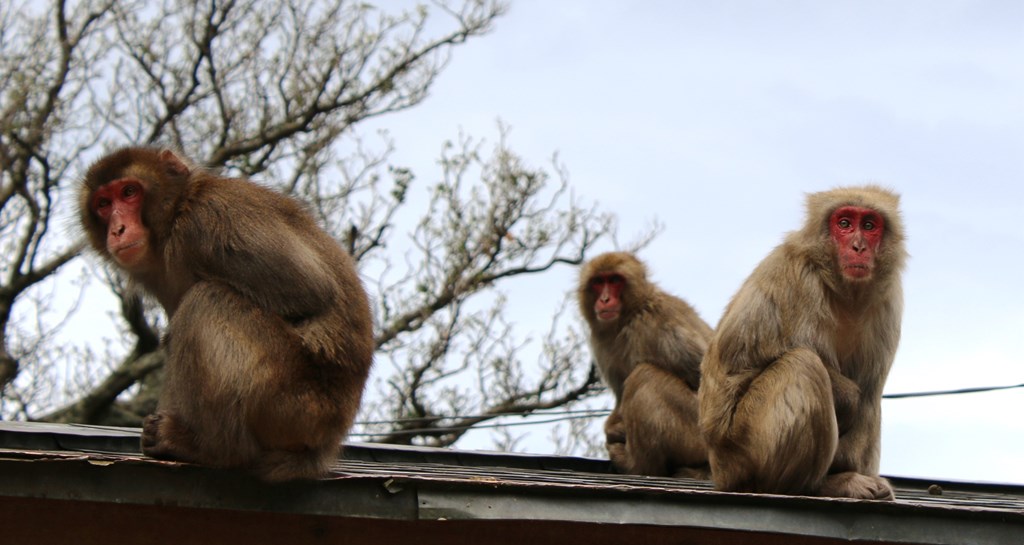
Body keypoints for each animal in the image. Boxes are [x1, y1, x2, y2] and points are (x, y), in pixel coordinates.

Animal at [78, 145, 376, 481]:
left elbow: (311, 292)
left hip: (293, 402)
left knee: (207, 300)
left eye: (129, 192)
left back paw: (214, 449)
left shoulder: (208, 219)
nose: (118, 229)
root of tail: (326, 445)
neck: (178, 211)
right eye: (103, 204)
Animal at [577, 250, 712, 477]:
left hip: (697, 434)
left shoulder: (659, 324)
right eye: (598, 282)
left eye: (615, 280)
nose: (605, 299)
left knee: (645, 376)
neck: (630, 315)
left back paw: (638, 465)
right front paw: (613, 428)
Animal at [700, 185, 909, 499]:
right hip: (740, 448)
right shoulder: (797, 279)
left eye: (870, 225)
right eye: (844, 223)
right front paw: (848, 397)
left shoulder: (888, 302)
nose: (858, 246)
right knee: (803, 365)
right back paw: (811, 486)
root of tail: (719, 471)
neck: (842, 287)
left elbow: (871, 392)